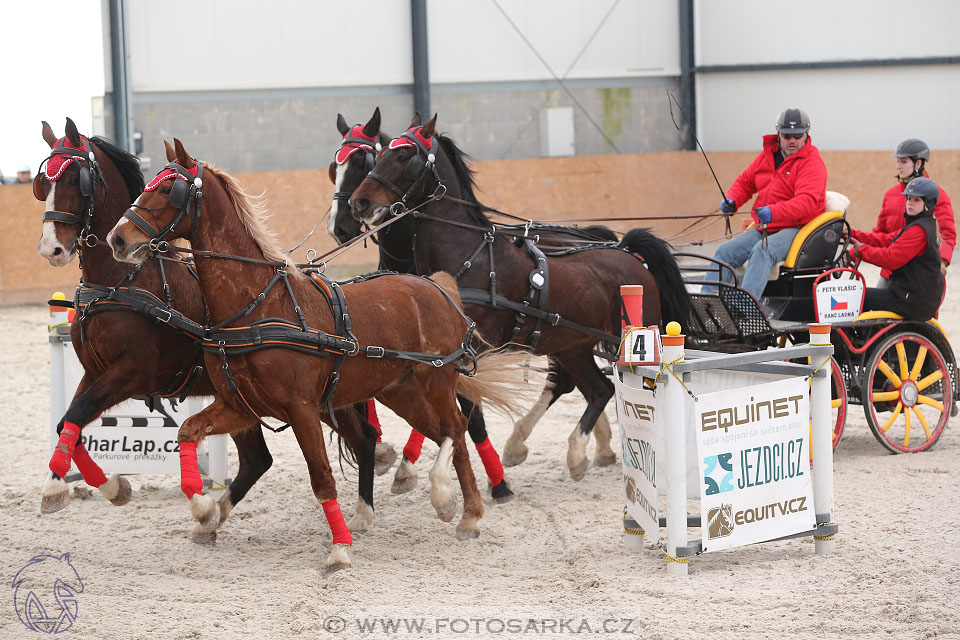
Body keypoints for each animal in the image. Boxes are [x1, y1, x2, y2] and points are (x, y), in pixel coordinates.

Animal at [108, 138, 528, 568]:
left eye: (167, 188)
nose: (117, 239)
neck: (258, 305)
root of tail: (437, 286)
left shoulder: (302, 409)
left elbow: (322, 478)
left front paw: (340, 549)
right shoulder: (242, 405)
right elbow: (188, 431)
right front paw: (204, 509)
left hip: (437, 380)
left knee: (456, 428)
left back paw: (452, 501)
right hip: (401, 391)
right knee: (445, 432)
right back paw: (463, 512)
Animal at [348, 114, 692, 480]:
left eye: (404, 156)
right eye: (381, 153)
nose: (359, 202)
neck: (470, 256)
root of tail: (627, 252)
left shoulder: (472, 350)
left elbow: (463, 407)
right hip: (572, 346)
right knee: (599, 389)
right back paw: (568, 453)